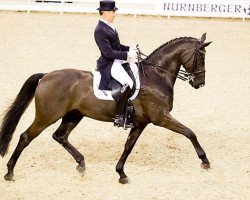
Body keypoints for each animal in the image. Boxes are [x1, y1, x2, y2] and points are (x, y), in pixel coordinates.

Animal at [0, 33, 211, 184]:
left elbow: (128, 146)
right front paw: (205, 161)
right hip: (47, 116)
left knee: (60, 136)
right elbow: (190, 132)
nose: (200, 83)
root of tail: (46, 76)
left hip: (73, 115)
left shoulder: (141, 123)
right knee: (26, 137)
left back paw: (81, 164)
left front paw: (121, 174)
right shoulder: (160, 117)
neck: (156, 75)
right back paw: (9, 172)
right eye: (201, 56)